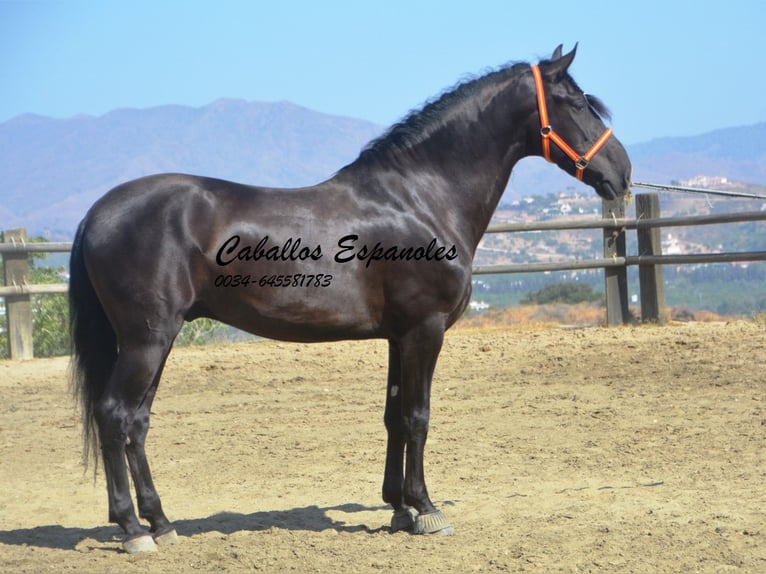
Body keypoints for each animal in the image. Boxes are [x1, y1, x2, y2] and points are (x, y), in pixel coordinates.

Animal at [69, 45, 632, 552]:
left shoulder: (398, 336)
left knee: (137, 422)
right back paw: (133, 531)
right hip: (146, 340)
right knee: (114, 415)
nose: (622, 173)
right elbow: (419, 415)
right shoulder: (424, 330)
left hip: (158, 340)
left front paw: (399, 509)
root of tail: (97, 213)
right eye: (577, 102)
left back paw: (161, 522)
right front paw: (427, 510)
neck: (419, 199)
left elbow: (394, 416)